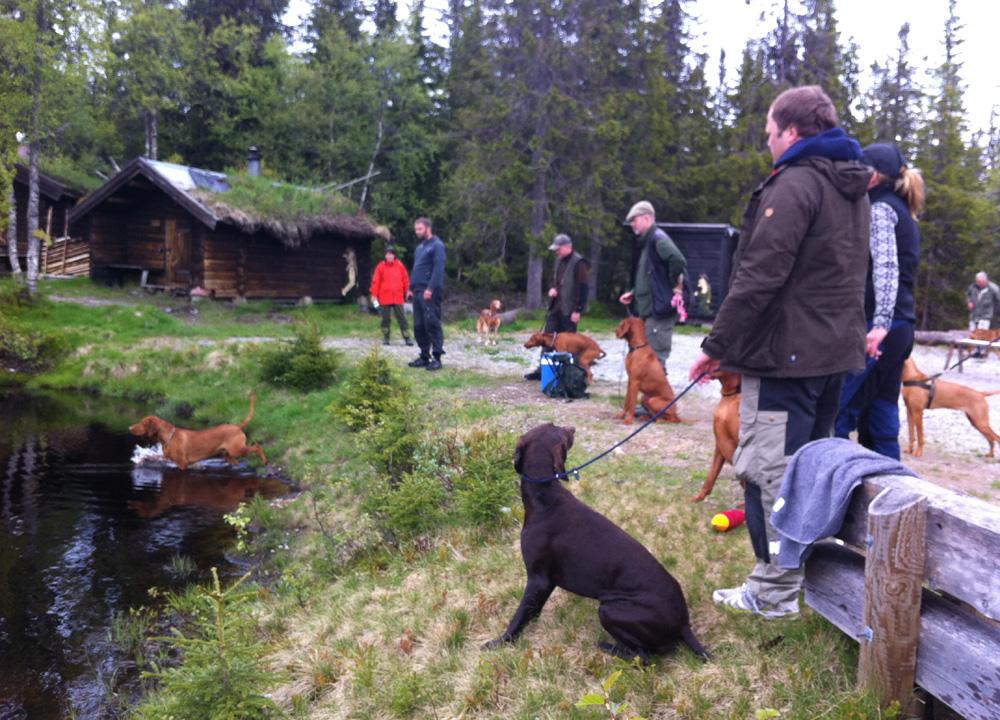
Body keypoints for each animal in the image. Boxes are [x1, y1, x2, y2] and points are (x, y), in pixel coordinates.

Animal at [131, 390, 268, 470]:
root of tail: (238, 426)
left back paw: (264, 461)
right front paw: (141, 459)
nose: (129, 428)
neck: (168, 437)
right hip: (228, 455)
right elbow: (150, 457)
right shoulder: (166, 458)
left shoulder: (183, 464)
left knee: (257, 446)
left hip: (237, 450)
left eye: (142, 423)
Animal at [480, 422, 708, 664]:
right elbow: (532, 612)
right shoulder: (546, 582)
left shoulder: (537, 579)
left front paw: (501, 641)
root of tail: (684, 623)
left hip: (609, 610)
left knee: (644, 657)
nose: (572, 427)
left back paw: (608, 647)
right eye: (555, 426)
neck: (545, 499)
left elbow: (518, 616)